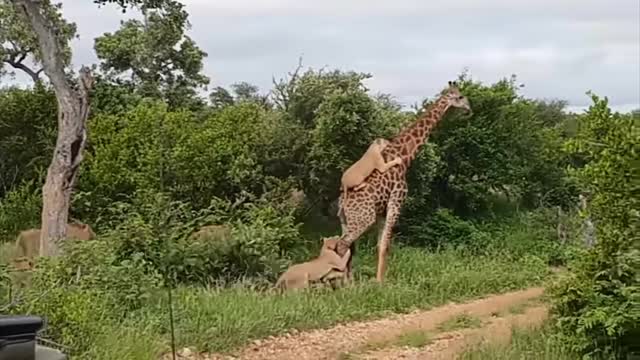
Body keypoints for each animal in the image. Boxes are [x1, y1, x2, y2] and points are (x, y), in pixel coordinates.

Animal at [336, 80, 470, 282]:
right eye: (461, 97)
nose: (469, 109)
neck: (406, 156)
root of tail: (342, 202)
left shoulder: (382, 210)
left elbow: (379, 244)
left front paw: (378, 279)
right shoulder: (396, 200)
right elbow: (385, 245)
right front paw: (381, 282)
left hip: (346, 220)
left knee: (346, 246)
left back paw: (346, 280)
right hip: (363, 219)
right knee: (343, 245)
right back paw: (345, 283)